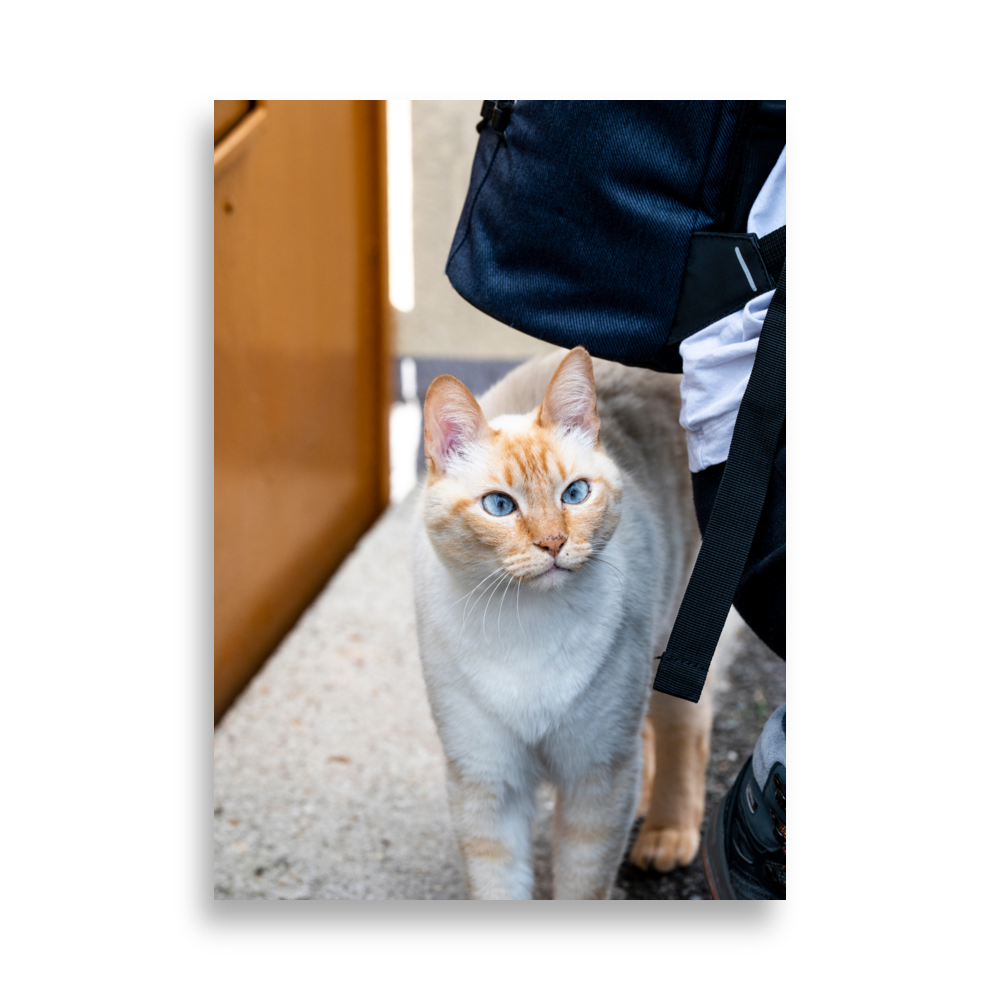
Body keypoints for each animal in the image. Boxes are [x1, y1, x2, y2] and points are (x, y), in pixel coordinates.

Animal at [414, 348, 712, 904]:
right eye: (500, 506)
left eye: (574, 494)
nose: (553, 543)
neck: (527, 629)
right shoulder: (488, 782)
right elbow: (497, 883)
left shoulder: (596, 778)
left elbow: (583, 882)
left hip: (675, 639)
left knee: (685, 728)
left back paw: (667, 832)